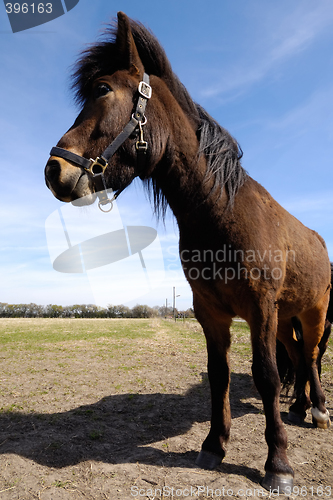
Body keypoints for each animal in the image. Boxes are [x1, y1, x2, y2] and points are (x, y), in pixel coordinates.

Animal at [43, 12, 330, 492]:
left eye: (102, 90)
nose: (54, 169)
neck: (222, 212)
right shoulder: (209, 311)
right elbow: (219, 376)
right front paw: (215, 445)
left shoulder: (261, 309)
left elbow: (267, 377)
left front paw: (279, 463)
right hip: (289, 315)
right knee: (297, 357)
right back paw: (299, 408)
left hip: (314, 312)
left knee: (309, 359)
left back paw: (320, 409)